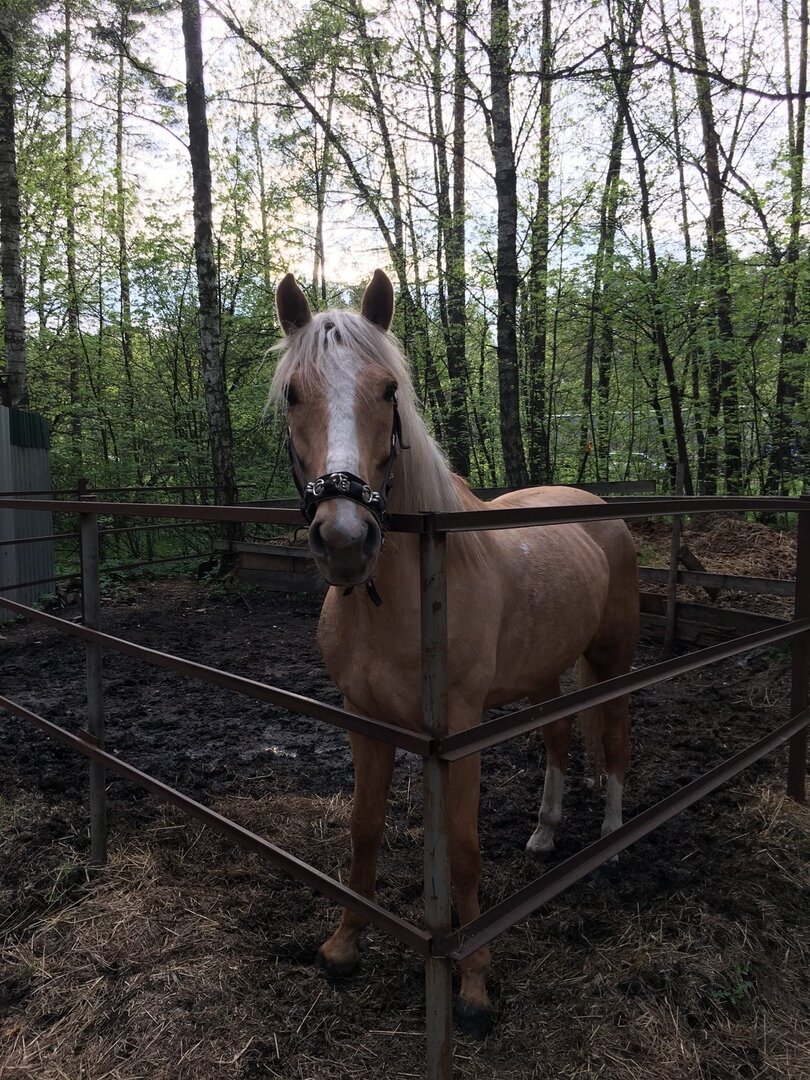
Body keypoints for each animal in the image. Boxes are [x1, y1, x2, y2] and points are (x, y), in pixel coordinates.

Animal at [273, 270, 639, 1036]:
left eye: (388, 390)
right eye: (293, 393)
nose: (345, 538)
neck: (400, 599)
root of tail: (598, 508)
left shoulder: (461, 730)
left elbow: (465, 851)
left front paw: (473, 985)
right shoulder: (365, 720)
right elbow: (364, 829)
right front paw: (343, 946)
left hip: (611, 662)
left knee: (616, 738)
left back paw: (611, 835)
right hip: (546, 672)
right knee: (560, 739)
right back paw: (544, 834)